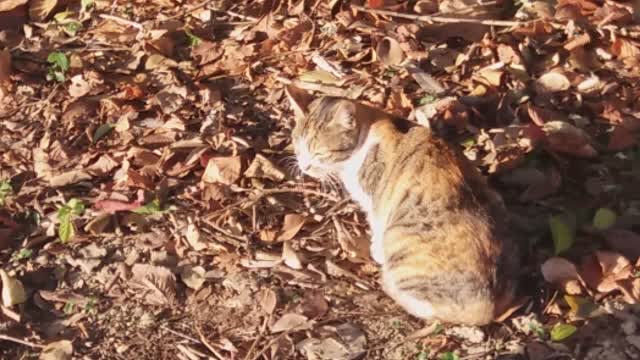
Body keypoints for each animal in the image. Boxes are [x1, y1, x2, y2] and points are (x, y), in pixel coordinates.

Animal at [288, 86, 516, 324]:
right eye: (298, 147)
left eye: (320, 153)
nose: (304, 167)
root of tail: (487, 308)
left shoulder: (375, 200)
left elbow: (377, 223)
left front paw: (376, 249)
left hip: (401, 242)